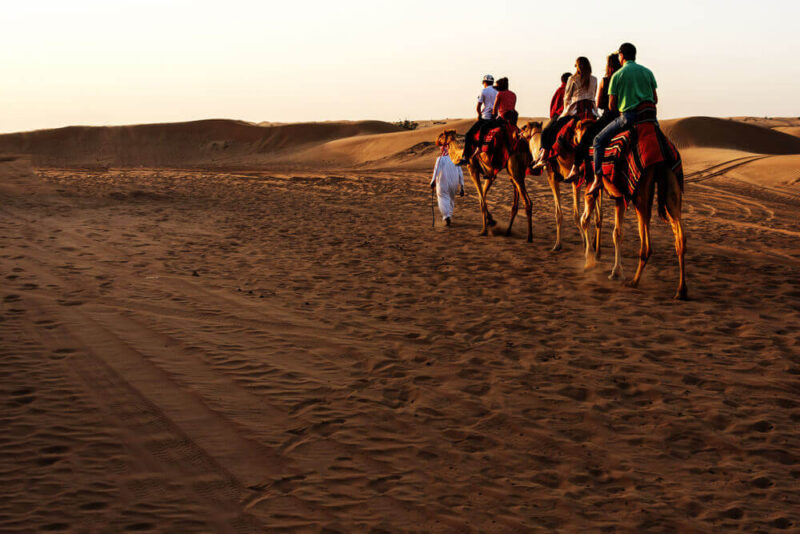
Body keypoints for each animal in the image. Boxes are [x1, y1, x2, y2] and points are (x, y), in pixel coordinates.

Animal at [520, 121, 604, 255]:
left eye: (524, 128)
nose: (518, 132)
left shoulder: (558, 178)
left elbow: (567, 214)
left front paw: (560, 245)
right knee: (599, 215)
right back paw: (597, 248)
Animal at [576, 123, 688, 304]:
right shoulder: (620, 197)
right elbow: (617, 233)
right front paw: (616, 271)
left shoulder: (591, 185)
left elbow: (584, 220)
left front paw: (589, 262)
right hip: (671, 183)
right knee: (680, 239)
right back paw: (681, 291)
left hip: (640, 194)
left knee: (647, 245)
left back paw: (634, 282)